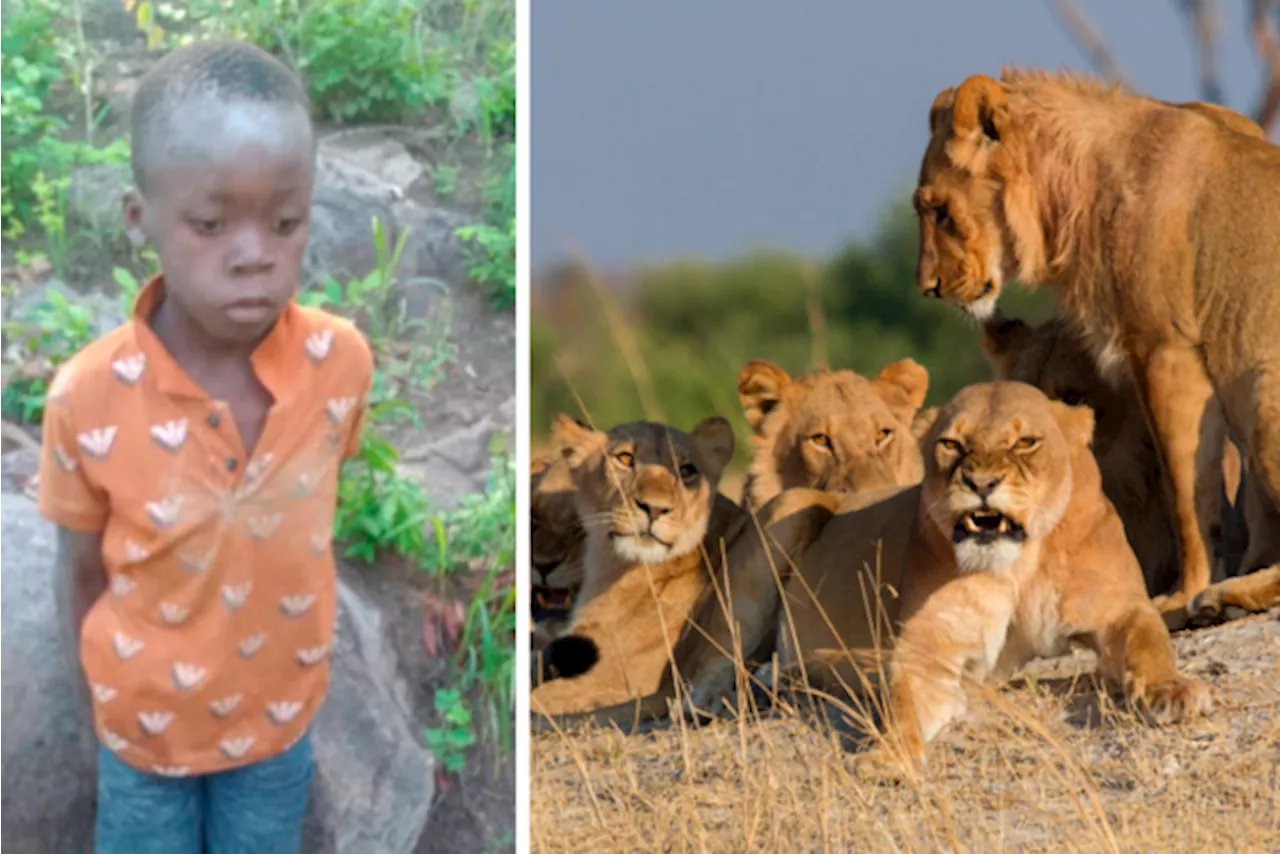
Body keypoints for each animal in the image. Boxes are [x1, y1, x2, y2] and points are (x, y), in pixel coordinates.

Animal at [686, 381, 1213, 768]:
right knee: (709, 662)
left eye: (1025, 442)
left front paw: (1171, 693)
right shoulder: (928, 649)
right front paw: (889, 757)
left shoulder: (1121, 609)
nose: (980, 483)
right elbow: (904, 708)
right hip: (791, 510)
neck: (1019, 567)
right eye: (952, 444)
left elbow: (1150, 645)